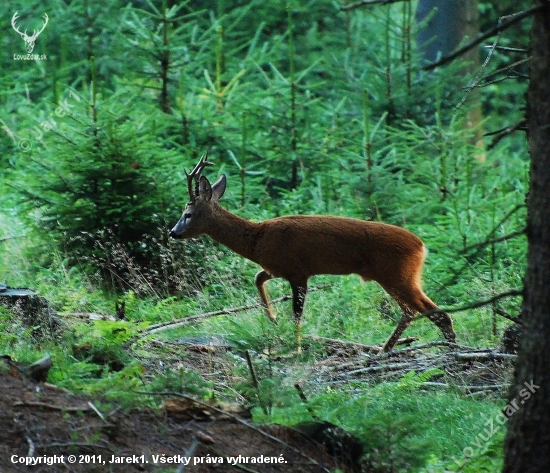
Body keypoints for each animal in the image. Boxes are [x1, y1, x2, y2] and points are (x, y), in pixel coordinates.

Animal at [171, 155, 458, 350]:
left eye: (187, 214)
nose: (173, 232)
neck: (257, 239)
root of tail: (421, 246)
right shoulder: (278, 268)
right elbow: (258, 278)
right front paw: (273, 317)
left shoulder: (298, 271)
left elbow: (297, 315)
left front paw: (294, 346)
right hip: (397, 277)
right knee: (413, 312)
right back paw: (385, 350)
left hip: (397, 274)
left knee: (436, 313)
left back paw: (450, 350)